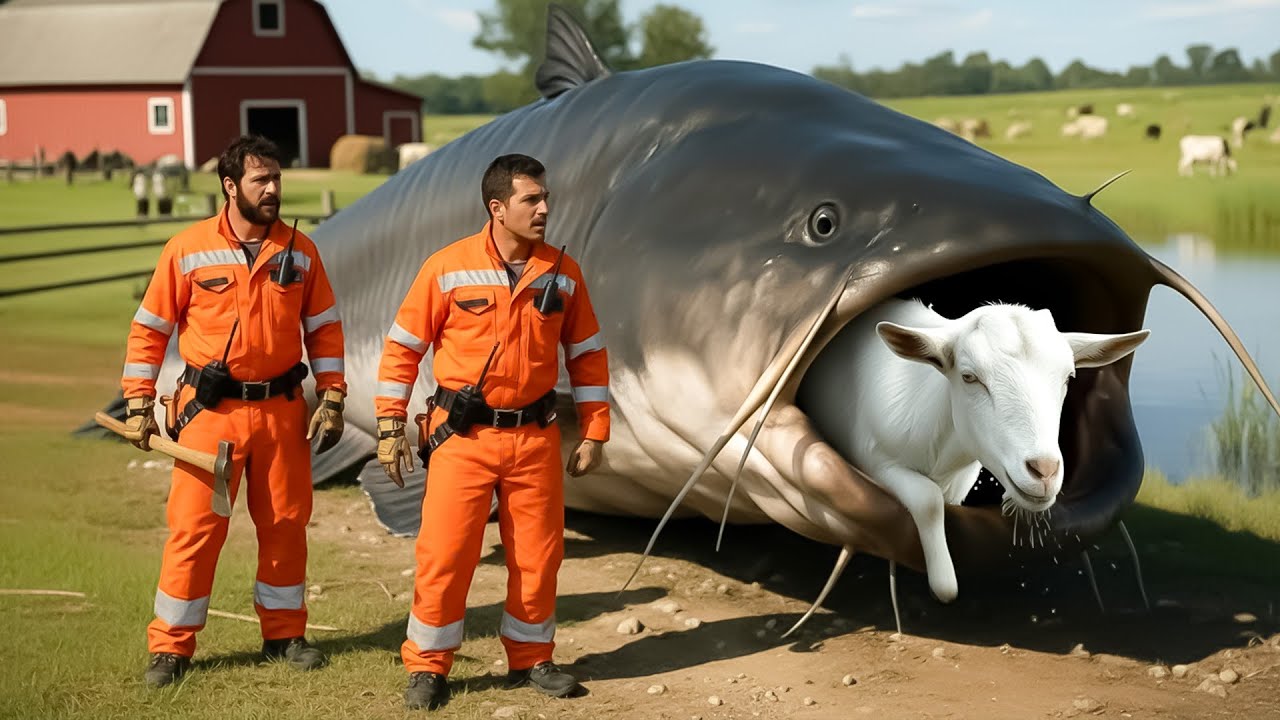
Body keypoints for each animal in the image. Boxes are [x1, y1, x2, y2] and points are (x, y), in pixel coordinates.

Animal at [805, 298, 1149, 602]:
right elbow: (928, 499)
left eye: (1069, 377)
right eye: (969, 377)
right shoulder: (875, 459)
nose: (1044, 471)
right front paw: (943, 581)